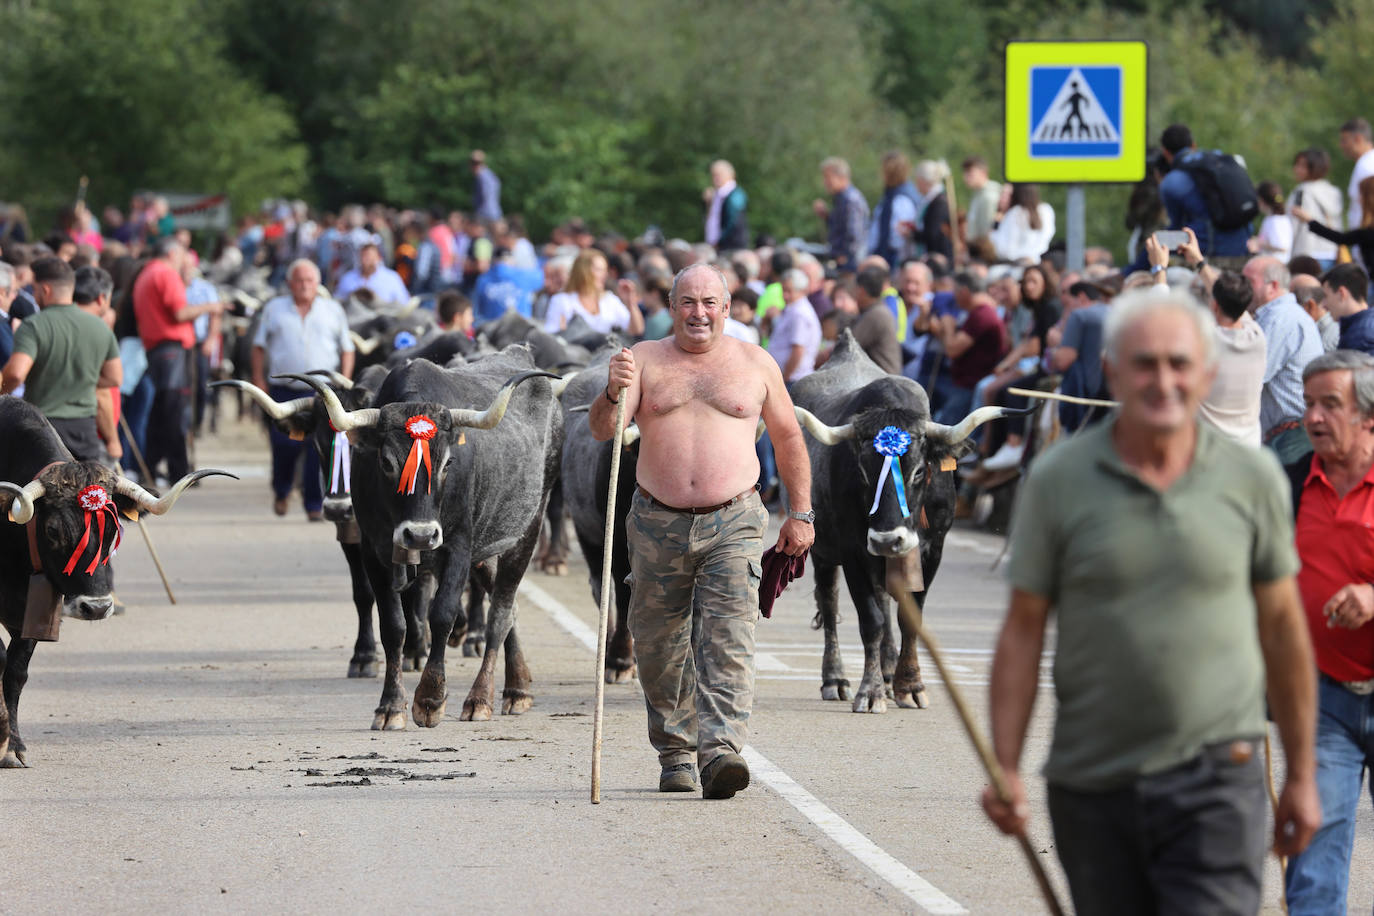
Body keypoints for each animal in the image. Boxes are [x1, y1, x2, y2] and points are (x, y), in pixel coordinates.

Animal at [0, 401, 230, 769]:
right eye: (52, 531)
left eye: (113, 531)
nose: (96, 607)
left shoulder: (29, 615)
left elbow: (16, 673)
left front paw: (13, 746)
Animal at [295, 347, 563, 725]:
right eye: (386, 462)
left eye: (449, 462)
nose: (420, 535)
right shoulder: (373, 549)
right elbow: (393, 624)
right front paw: (391, 705)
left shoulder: (459, 546)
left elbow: (442, 614)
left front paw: (430, 698)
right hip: (485, 547)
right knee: (506, 607)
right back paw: (519, 685)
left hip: (528, 528)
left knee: (500, 611)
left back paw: (486, 697)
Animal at [791, 333, 1027, 714]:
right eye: (862, 471)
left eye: (918, 472)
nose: (888, 540)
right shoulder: (853, 551)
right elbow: (870, 620)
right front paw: (870, 691)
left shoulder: (932, 550)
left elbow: (908, 617)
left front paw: (909, 685)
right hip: (820, 547)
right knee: (830, 602)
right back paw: (835, 679)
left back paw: (888, 673)